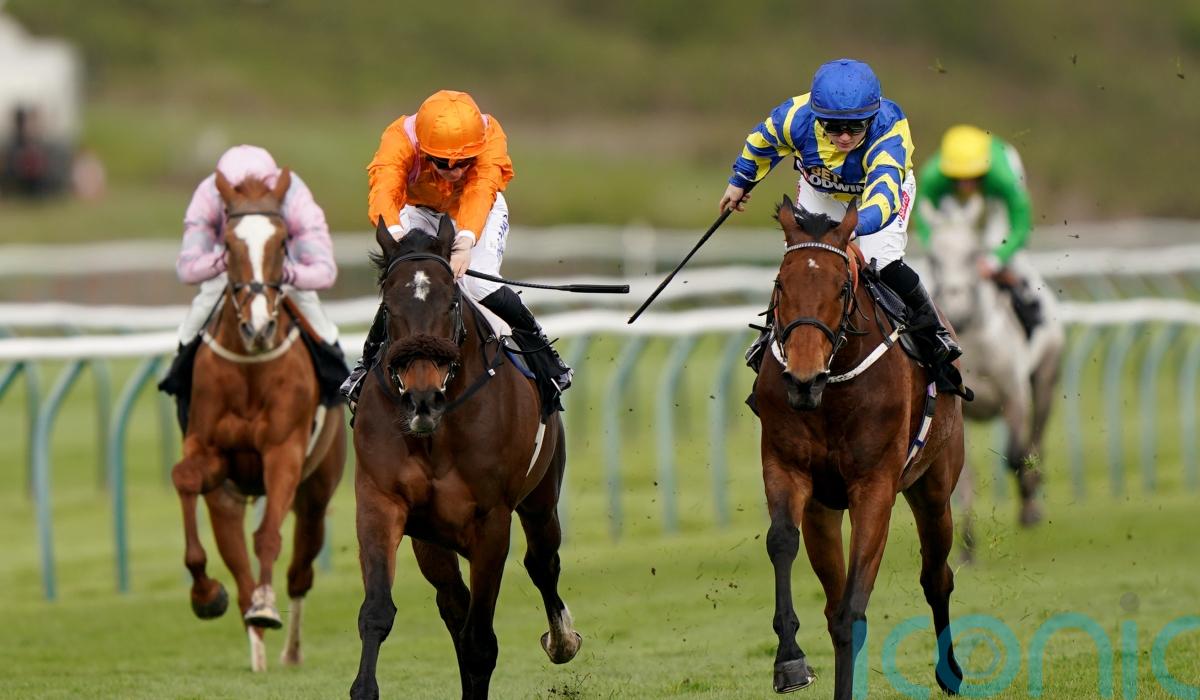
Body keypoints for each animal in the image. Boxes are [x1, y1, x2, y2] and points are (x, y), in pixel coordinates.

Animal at [169, 170, 346, 672]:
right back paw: (255, 642)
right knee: (239, 563)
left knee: (300, 569)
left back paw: (288, 647)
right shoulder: (211, 453)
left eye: (283, 240)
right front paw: (206, 594)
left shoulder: (284, 451)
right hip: (228, 498)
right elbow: (185, 477)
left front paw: (267, 608)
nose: (259, 325)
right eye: (227, 244)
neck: (251, 366)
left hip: (317, 491)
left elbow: (268, 536)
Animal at [349, 215, 580, 700]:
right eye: (387, 306)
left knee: (542, 563)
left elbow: (480, 643)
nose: (421, 399)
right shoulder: (380, 503)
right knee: (454, 605)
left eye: (451, 302)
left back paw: (562, 640)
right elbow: (377, 611)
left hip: (541, 498)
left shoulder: (491, 522)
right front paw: (364, 687)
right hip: (430, 538)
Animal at [754, 195, 966, 699]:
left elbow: (853, 609)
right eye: (780, 285)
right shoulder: (786, 469)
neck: (832, 390)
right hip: (824, 510)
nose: (803, 380)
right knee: (831, 598)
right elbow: (782, 542)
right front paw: (790, 661)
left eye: (841, 290)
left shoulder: (874, 487)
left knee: (937, 577)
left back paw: (950, 671)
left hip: (934, 488)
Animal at [923, 194, 1064, 528]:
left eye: (972, 255)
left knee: (1037, 437)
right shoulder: (958, 411)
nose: (957, 307)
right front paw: (967, 538)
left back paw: (1032, 500)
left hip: (1045, 378)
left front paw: (1027, 496)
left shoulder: (1015, 394)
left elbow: (1015, 453)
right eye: (934, 258)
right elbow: (963, 477)